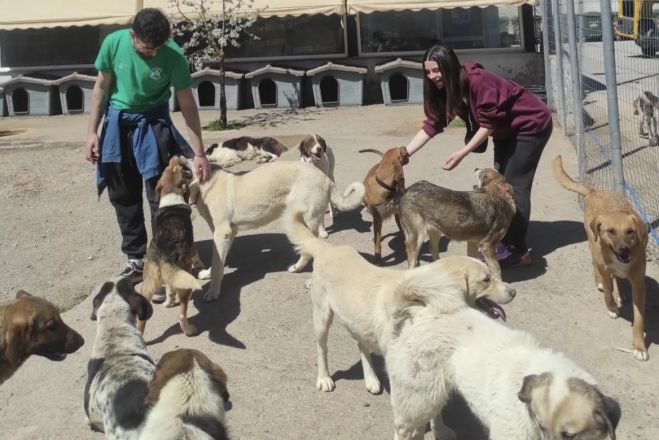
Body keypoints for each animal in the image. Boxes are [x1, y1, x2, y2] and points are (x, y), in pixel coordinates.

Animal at [142, 157, 206, 336]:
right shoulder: (191, 245)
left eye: (167, 168)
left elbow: (170, 290)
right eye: (176, 168)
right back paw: (189, 330)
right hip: (186, 284)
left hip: (148, 285)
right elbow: (197, 254)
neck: (171, 195)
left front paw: (169, 302)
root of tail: (162, 257)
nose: (175, 156)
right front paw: (201, 265)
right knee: (182, 315)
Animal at [183, 159, 364, 302]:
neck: (205, 185)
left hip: (305, 220)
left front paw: (213, 291)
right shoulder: (229, 233)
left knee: (309, 250)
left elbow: (217, 263)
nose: (180, 159)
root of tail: (326, 178)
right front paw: (207, 273)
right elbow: (219, 261)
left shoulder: (222, 233)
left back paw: (304, 273)